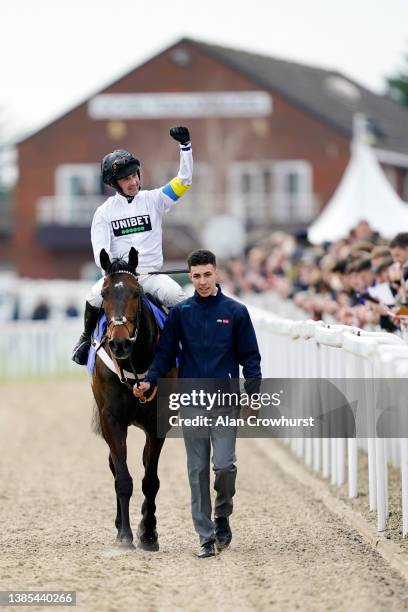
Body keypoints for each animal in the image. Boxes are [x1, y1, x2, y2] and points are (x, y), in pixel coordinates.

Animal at [90, 246, 171, 552]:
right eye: (104, 295)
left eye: (136, 293)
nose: (120, 343)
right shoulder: (111, 419)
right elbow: (123, 477)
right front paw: (124, 534)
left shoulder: (158, 422)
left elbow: (151, 480)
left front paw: (148, 534)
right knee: (115, 467)